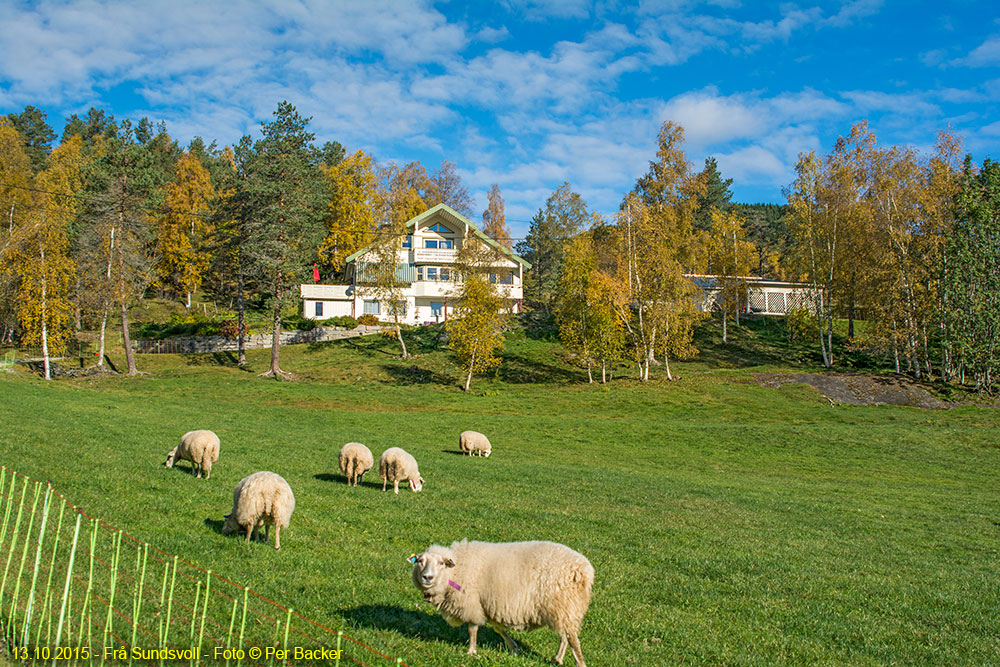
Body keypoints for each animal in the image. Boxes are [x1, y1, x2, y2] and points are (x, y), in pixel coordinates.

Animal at [412, 540, 592, 664]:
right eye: (420, 561)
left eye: (441, 563)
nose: (427, 577)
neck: (456, 570)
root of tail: (585, 570)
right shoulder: (487, 605)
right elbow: (498, 629)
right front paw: (513, 648)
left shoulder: (471, 604)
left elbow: (472, 629)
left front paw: (471, 651)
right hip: (565, 609)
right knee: (565, 636)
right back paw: (558, 658)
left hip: (565, 605)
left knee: (571, 638)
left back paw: (580, 662)